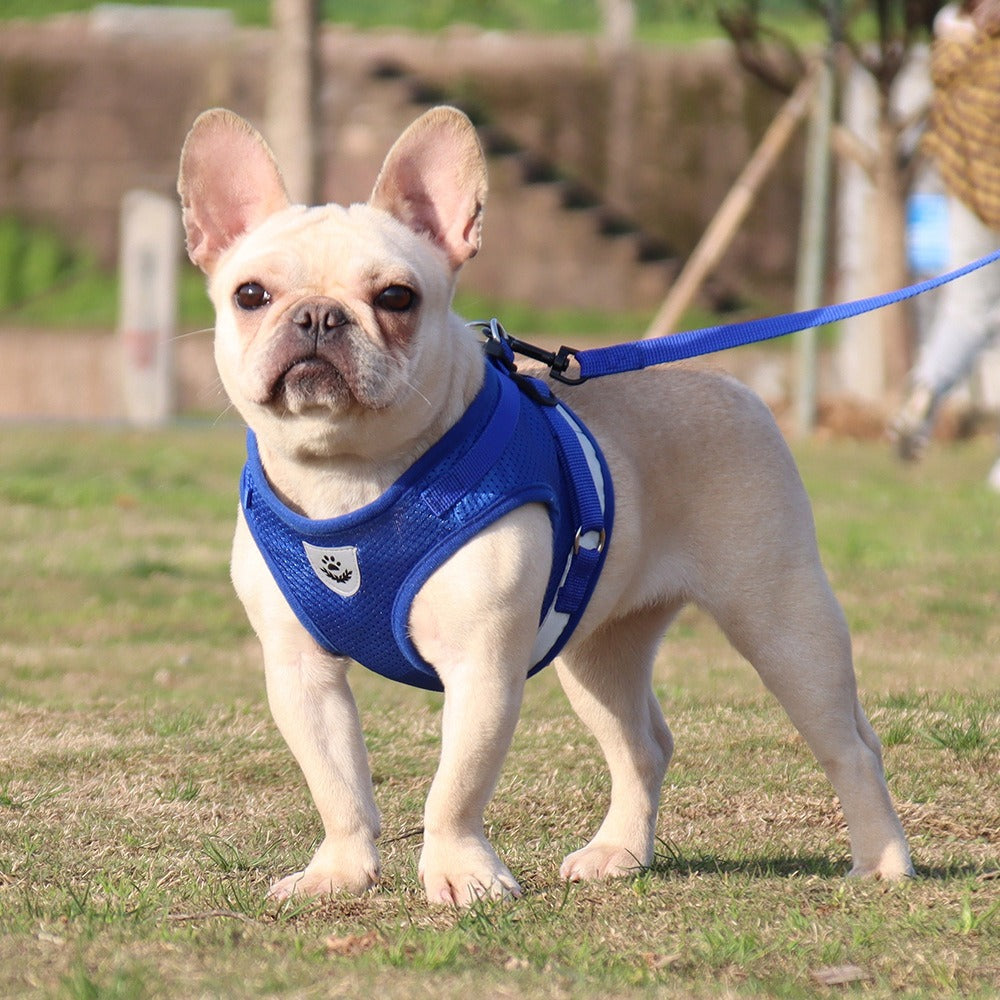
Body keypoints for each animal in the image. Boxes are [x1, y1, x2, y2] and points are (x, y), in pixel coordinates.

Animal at [180, 105, 916, 904]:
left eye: (396, 297)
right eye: (251, 295)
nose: (317, 316)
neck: (351, 473)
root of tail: (733, 385)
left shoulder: (481, 666)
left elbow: (456, 787)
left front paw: (459, 874)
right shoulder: (299, 672)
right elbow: (337, 782)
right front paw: (340, 873)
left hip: (781, 617)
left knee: (848, 742)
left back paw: (882, 859)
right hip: (599, 651)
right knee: (642, 746)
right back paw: (618, 852)